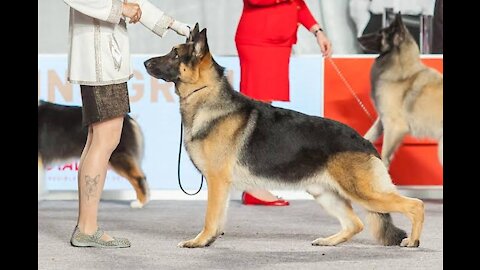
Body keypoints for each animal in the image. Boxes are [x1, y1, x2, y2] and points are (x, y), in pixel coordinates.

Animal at [143, 24, 424, 248]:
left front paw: (199, 241)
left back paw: (412, 241)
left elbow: (210, 218)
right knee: (355, 223)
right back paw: (329, 241)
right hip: (325, 194)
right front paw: (209, 241)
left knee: (415, 205)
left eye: (174, 54)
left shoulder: (217, 181)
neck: (205, 93)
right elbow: (218, 218)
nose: (145, 63)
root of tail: (365, 142)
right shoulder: (221, 185)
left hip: (365, 193)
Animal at [358, 14, 444, 169]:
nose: (358, 38)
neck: (402, 74)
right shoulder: (382, 121)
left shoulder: (394, 127)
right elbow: (367, 136)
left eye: (380, 33)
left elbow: (384, 156)